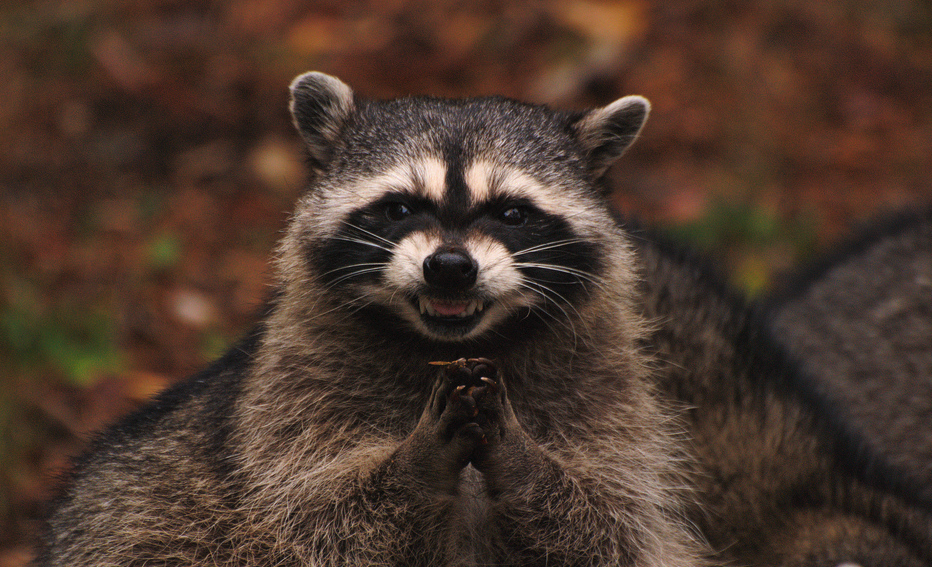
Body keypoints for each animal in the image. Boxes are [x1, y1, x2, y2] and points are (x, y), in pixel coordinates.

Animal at [36, 73, 704, 566]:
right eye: (400, 207)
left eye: (511, 213)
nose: (450, 267)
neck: (445, 343)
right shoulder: (288, 399)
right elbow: (320, 520)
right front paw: (414, 465)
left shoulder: (602, 387)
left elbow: (609, 525)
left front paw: (523, 460)